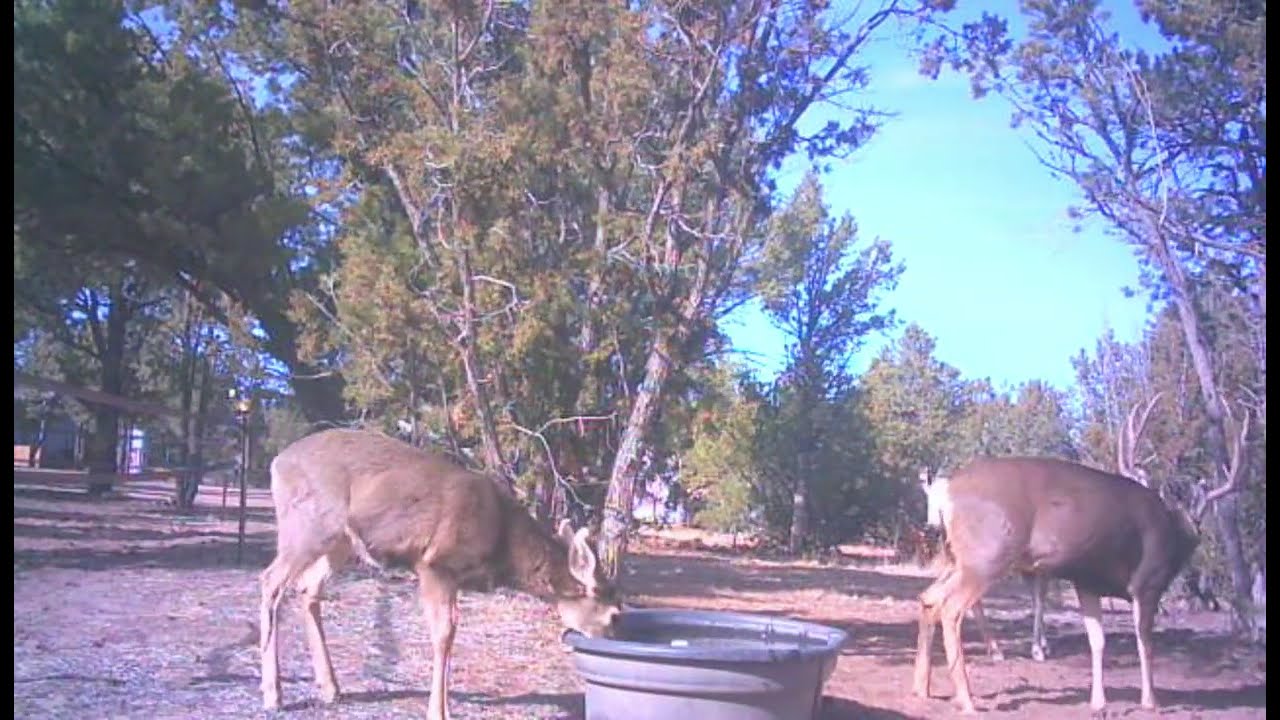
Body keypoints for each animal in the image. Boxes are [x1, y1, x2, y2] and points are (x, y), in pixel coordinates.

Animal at [258, 428, 624, 720]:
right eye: (615, 614)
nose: (612, 642)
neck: (502, 538)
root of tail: (276, 463)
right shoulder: (435, 564)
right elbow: (444, 633)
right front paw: (438, 711)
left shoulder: (453, 576)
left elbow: (451, 632)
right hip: (308, 525)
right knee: (271, 580)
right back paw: (273, 694)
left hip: (340, 541)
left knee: (308, 588)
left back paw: (330, 688)